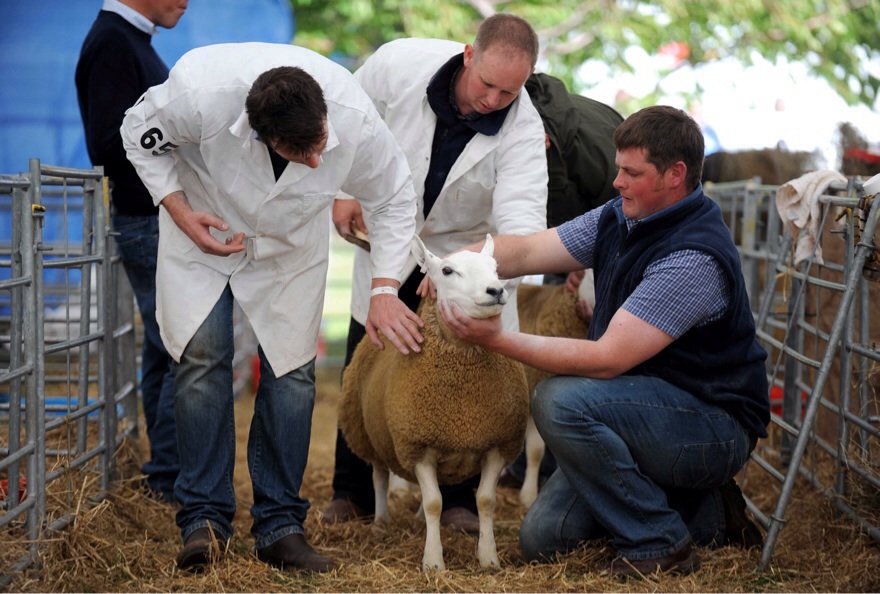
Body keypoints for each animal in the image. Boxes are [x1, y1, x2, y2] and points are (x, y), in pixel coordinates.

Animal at [336, 232, 528, 568]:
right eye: (447, 271)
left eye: (495, 267)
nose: (496, 290)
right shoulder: (418, 445)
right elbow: (434, 503)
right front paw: (434, 562)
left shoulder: (497, 443)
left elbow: (485, 501)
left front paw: (488, 556)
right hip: (367, 434)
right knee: (379, 477)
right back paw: (381, 524)